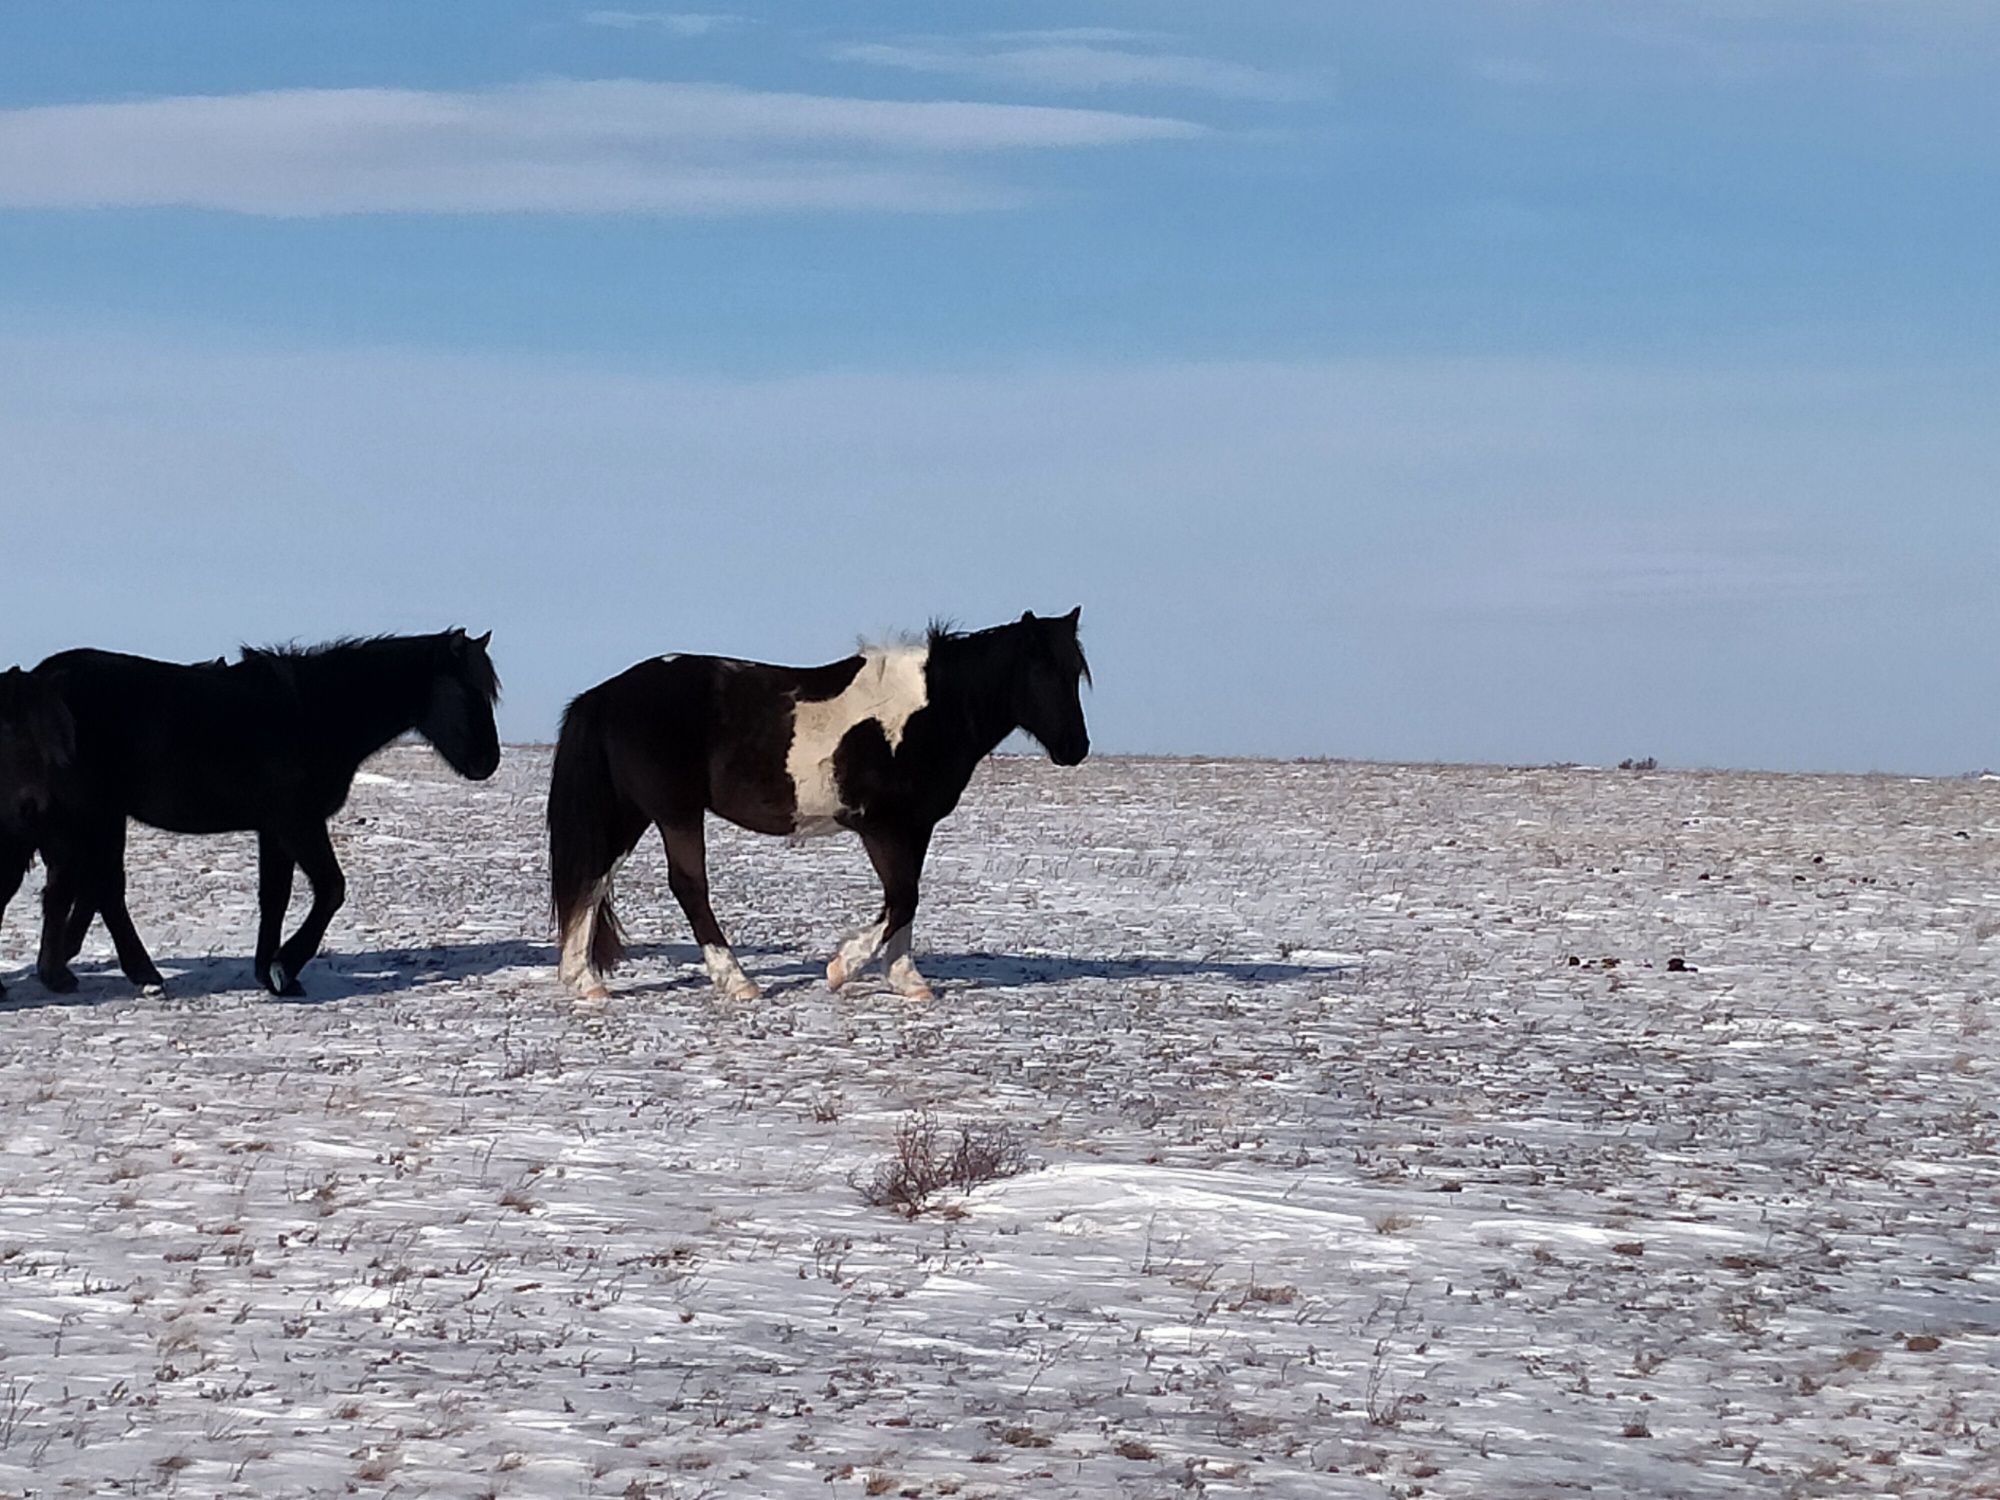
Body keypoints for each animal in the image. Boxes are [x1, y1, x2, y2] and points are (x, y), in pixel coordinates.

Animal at [0, 632, 500, 1000]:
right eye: (469, 692)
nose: (488, 762)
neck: (314, 713)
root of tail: (37, 680)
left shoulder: (274, 830)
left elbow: (275, 896)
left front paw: (272, 972)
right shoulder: (298, 823)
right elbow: (330, 890)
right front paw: (284, 967)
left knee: (70, 890)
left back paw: (60, 972)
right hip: (95, 815)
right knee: (103, 889)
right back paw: (140, 974)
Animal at [548, 612, 1096, 1012]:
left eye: (1075, 673)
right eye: (1040, 671)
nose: (1076, 748)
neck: (928, 712)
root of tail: (606, 694)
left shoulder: (914, 830)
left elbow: (905, 901)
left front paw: (907, 980)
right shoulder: (883, 828)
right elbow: (902, 899)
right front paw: (843, 967)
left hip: (633, 814)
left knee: (591, 881)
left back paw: (584, 982)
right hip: (675, 812)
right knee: (687, 888)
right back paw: (737, 981)